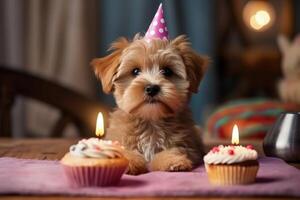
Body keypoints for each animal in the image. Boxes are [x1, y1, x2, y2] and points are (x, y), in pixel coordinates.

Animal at [92, 34, 209, 175]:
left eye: (167, 71)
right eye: (135, 71)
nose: (152, 88)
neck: (151, 120)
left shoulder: (188, 144)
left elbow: (175, 149)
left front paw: (172, 160)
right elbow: (123, 150)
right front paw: (129, 161)